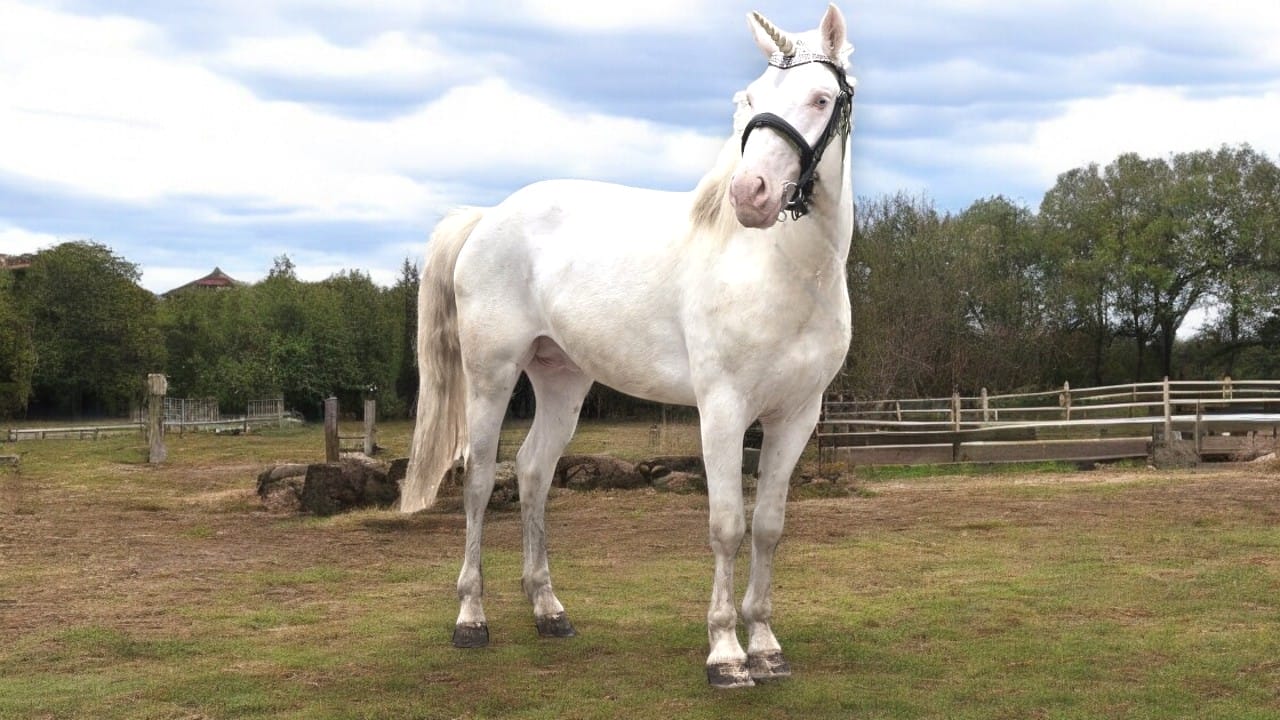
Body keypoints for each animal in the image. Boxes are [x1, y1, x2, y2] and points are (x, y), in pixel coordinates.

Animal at [402, 4, 856, 689]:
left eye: (820, 98)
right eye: (749, 100)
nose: (749, 195)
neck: (782, 272)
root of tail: (487, 217)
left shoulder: (797, 416)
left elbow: (769, 527)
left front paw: (767, 646)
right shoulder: (722, 411)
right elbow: (727, 525)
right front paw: (726, 655)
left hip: (561, 380)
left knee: (533, 472)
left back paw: (549, 611)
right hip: (491, 376)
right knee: (480, 481)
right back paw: (471, 620)